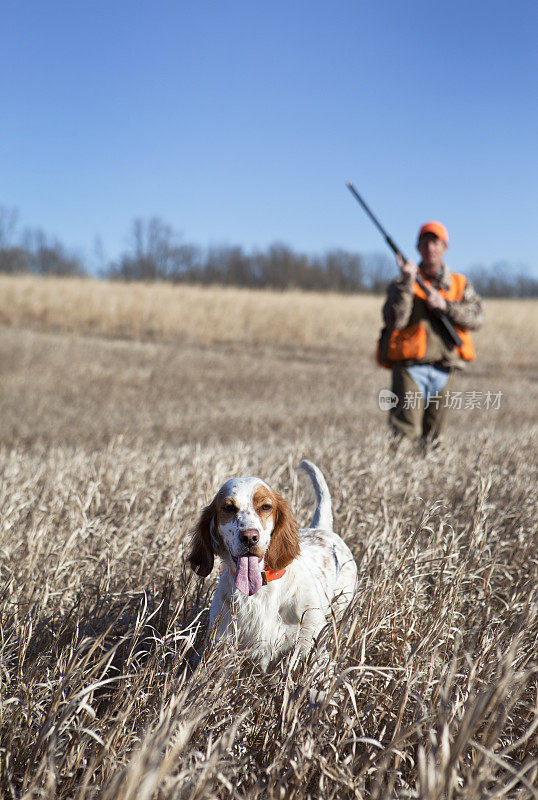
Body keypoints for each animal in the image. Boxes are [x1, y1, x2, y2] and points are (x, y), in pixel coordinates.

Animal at [188, 460, 356, 664]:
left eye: (266, 506)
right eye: (228, 508)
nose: (249, 537)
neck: (260, 590)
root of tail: (322, 528)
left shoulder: (310, 641)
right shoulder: (222, 642)